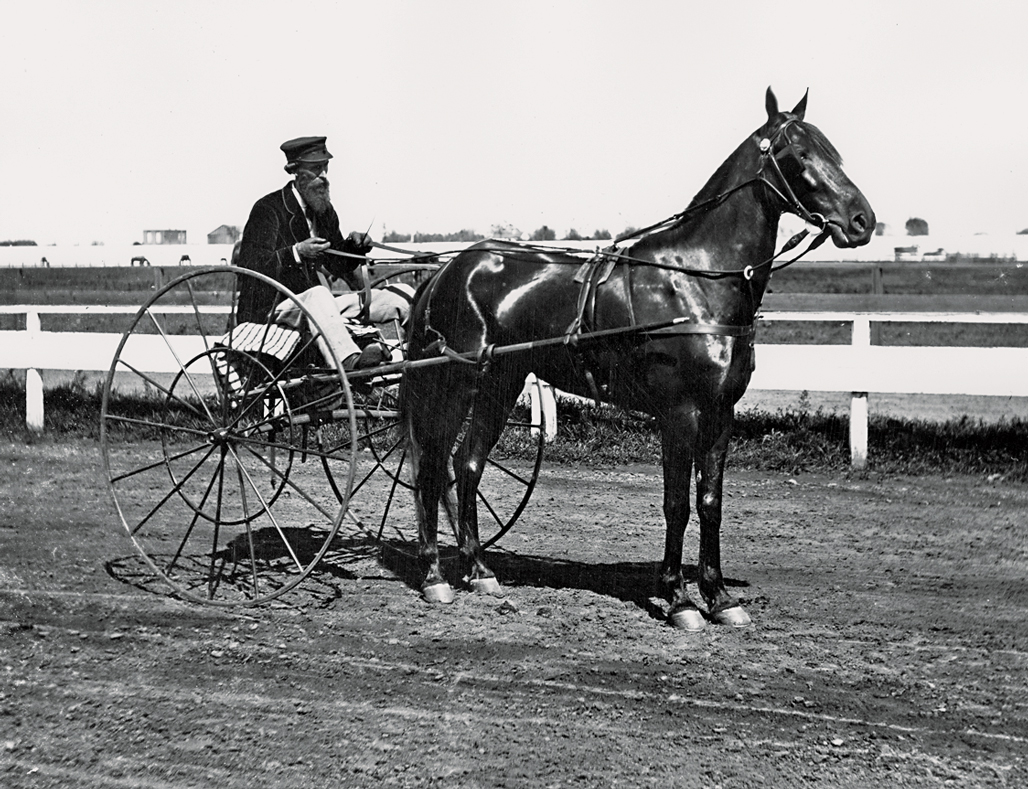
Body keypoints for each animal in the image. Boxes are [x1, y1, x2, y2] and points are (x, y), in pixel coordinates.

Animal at [399, 88, 875, 631]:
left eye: (834, 153)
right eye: (799, 153)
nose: (862, 221)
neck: (697, 280)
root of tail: (449, 268)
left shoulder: (720, 413)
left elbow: (710, 503)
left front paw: (719, 598)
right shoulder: (680, 413)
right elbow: (677, 505)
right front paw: (679, 599)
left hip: (500, 380)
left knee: (468, 463)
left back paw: (479, 570)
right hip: (453, 382)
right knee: (431, 466)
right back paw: (434, 576)